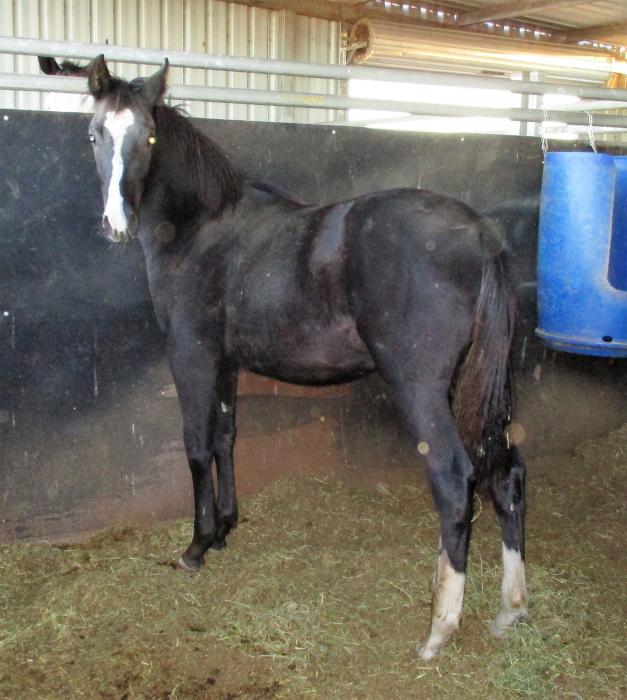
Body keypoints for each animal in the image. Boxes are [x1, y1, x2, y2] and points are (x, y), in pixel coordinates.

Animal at [73, 54, 528, 659]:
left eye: (146, 135)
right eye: (96, 133)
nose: (116, 224)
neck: (205, 230)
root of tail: (480, 233)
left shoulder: (192, 355)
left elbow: (195, 446)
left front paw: (195, 546)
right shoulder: (226, 363)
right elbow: (225, 438)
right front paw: (225, 529)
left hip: (420, 389)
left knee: (456, 483)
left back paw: (439, 628)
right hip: (475, 388)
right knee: (506, 475)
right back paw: (510, 609)